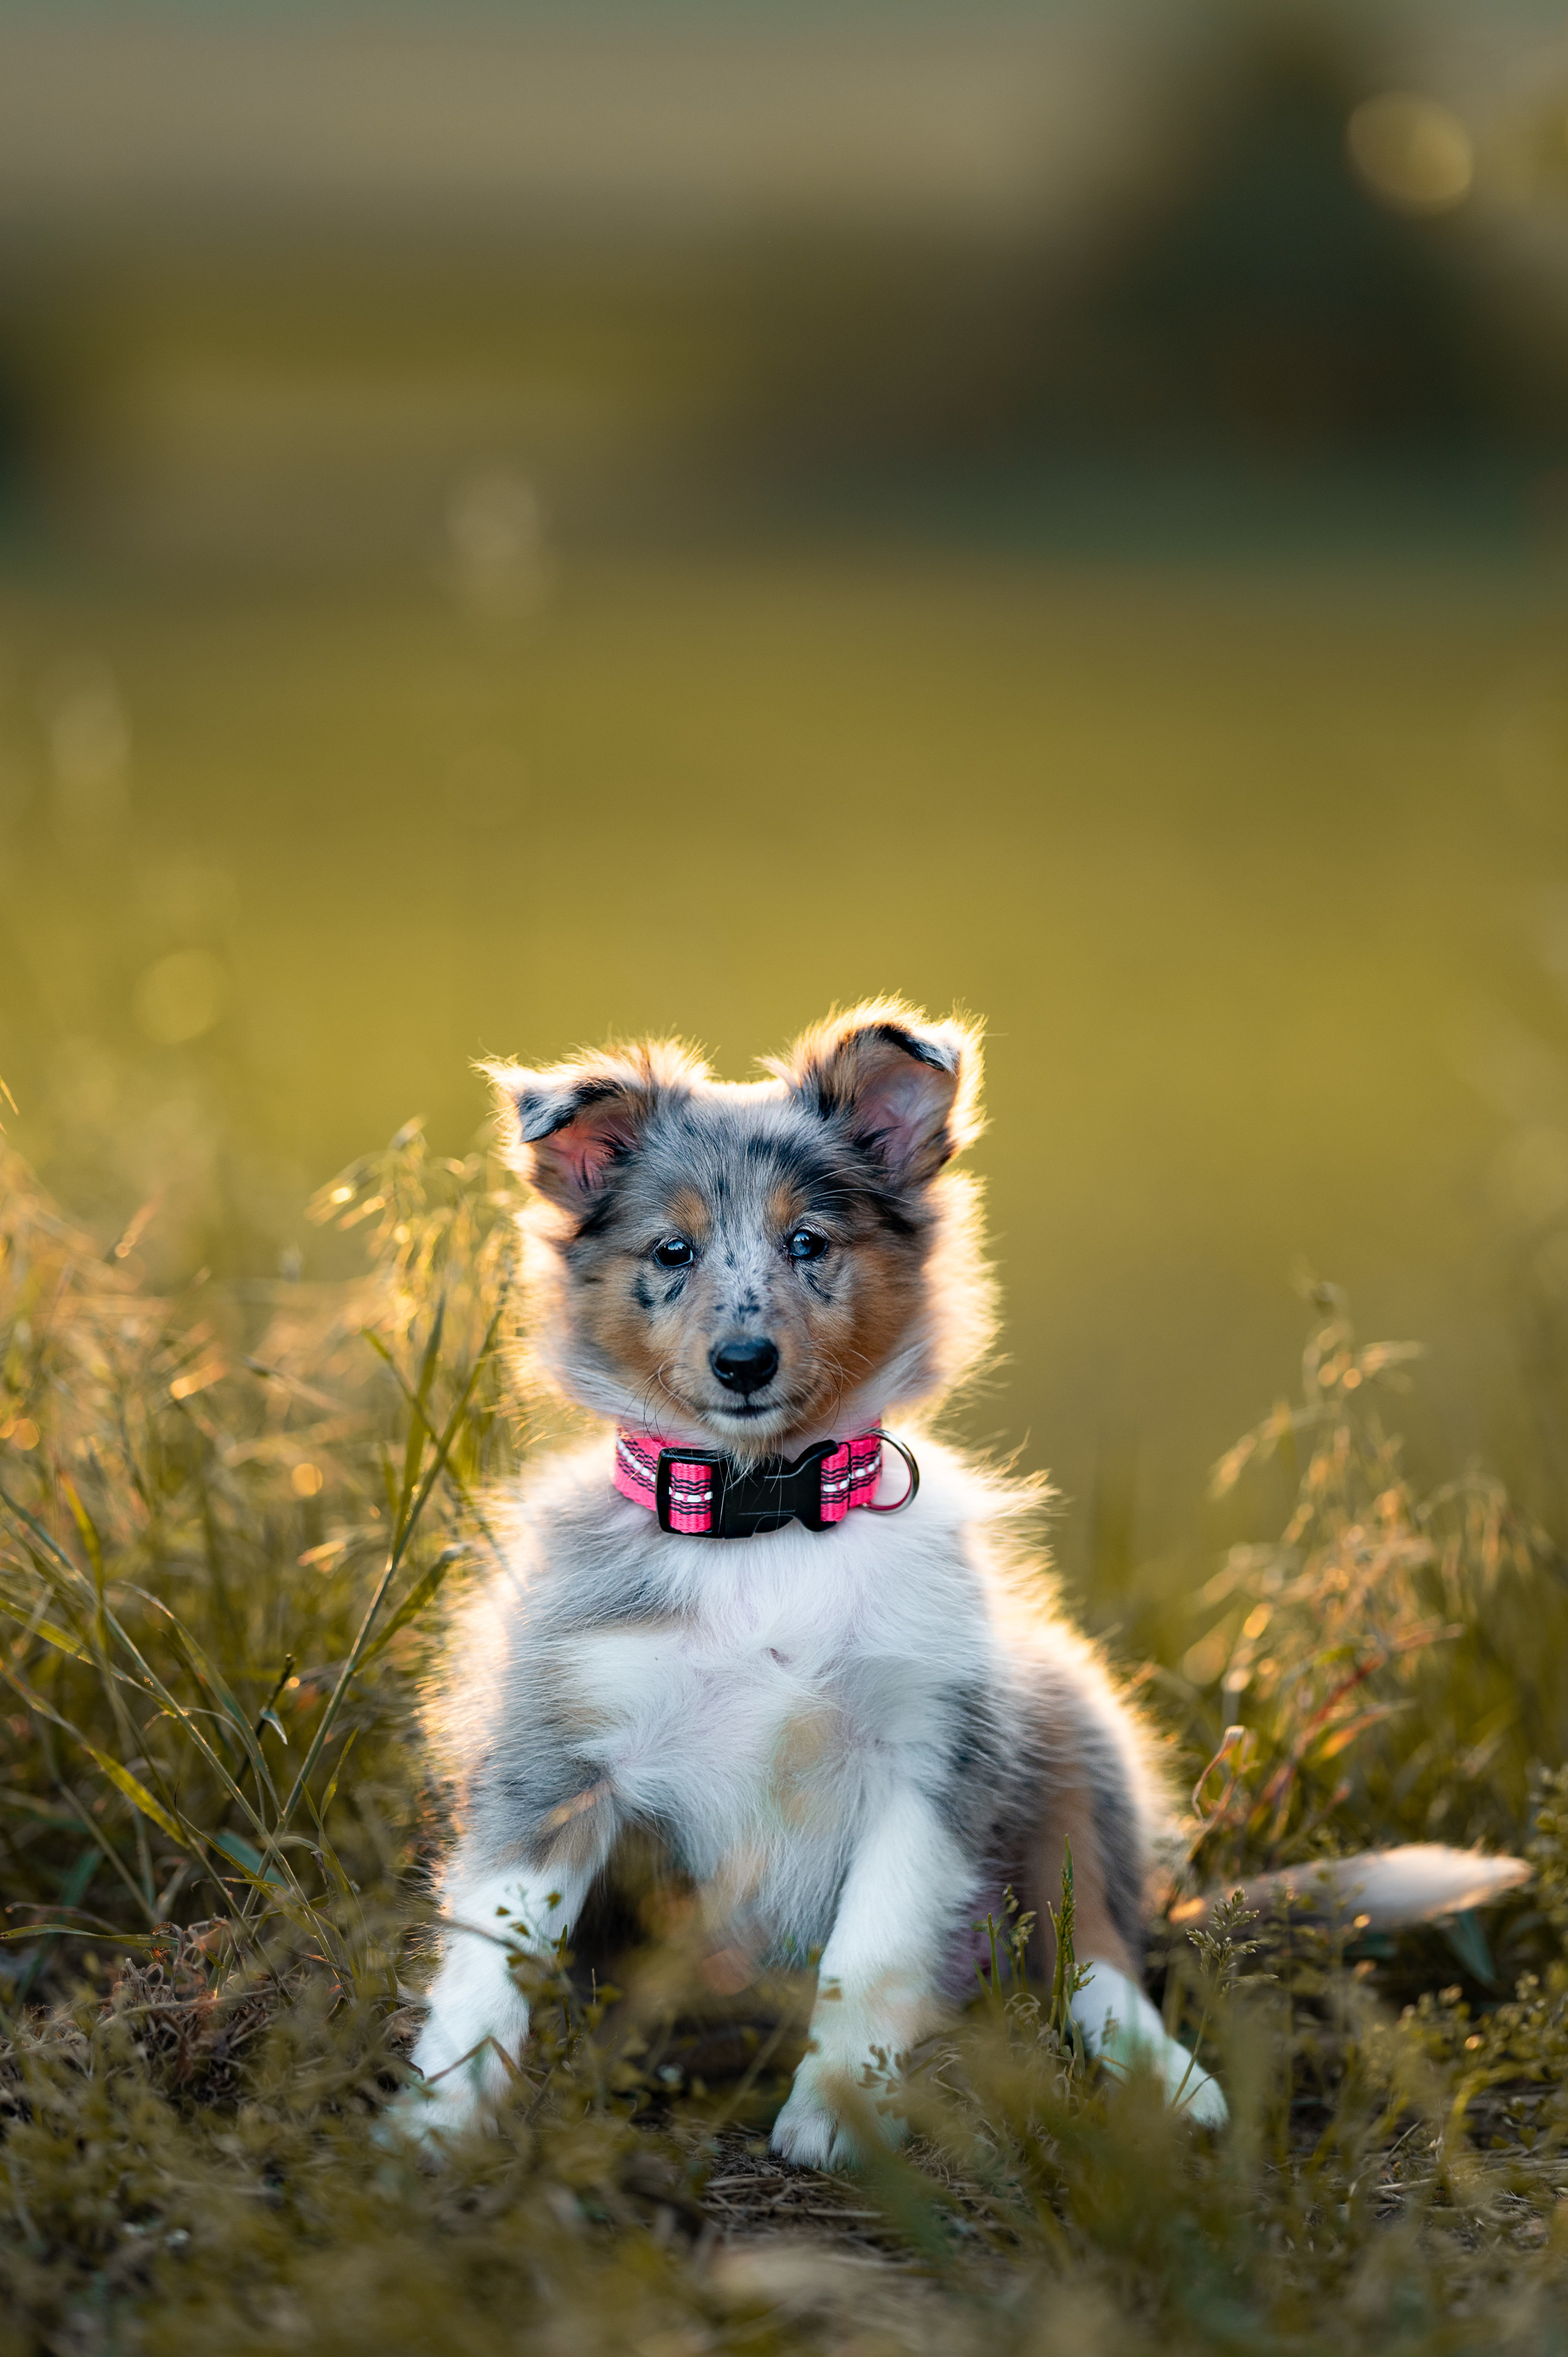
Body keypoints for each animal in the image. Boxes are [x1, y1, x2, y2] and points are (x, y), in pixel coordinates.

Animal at [394, 1004, 1528, 2159]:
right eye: (673, 1250)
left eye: (809, 1242)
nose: (745, 1361)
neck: (768, 1520)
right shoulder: (552, 1761)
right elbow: (488, 1958)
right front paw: (438, 2124)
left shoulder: (930, 1757)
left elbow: (872, 1953)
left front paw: (835, 2115)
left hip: (1067, 1720)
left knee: (1096, 1948)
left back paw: (1171, 2083)